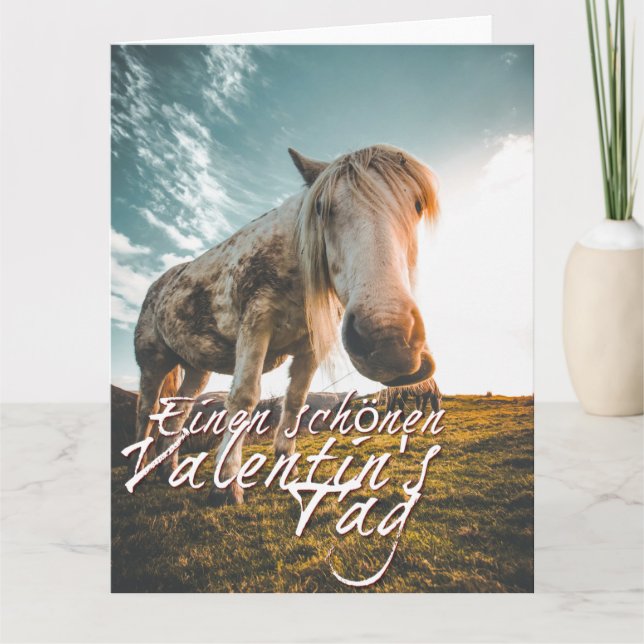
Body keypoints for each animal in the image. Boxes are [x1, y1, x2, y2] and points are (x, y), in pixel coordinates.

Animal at [133, 144, 439, 506]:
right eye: (322, 208)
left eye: (416, 205)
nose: (387, 344)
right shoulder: (255, 325)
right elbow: (244, 398)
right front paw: (226, 485)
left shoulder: (311, 347)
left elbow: (294, 403)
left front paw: (286, 470)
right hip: (153, 361)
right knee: (146, 410)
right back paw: (139, 472)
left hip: (196, 369)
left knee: (178, 411)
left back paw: (169, 470)